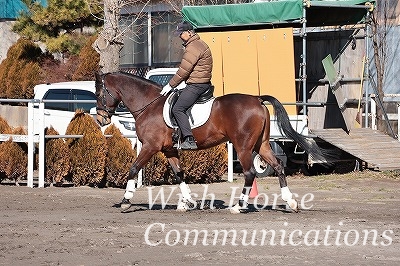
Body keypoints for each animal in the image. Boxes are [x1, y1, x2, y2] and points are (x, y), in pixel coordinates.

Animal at [94, 71, 328, 213]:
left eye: (99, 93)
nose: (101, 119)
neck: (149, 105)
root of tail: (256, 99)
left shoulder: (151, 147)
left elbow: (133, 168)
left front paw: (126, 201)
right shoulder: (169, 151)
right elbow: (179, 174)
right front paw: (188, 202)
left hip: (243, 146)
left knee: (250, 173)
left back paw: (238, 206)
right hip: (261, 145)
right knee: (278, 166)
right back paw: (291, 202)